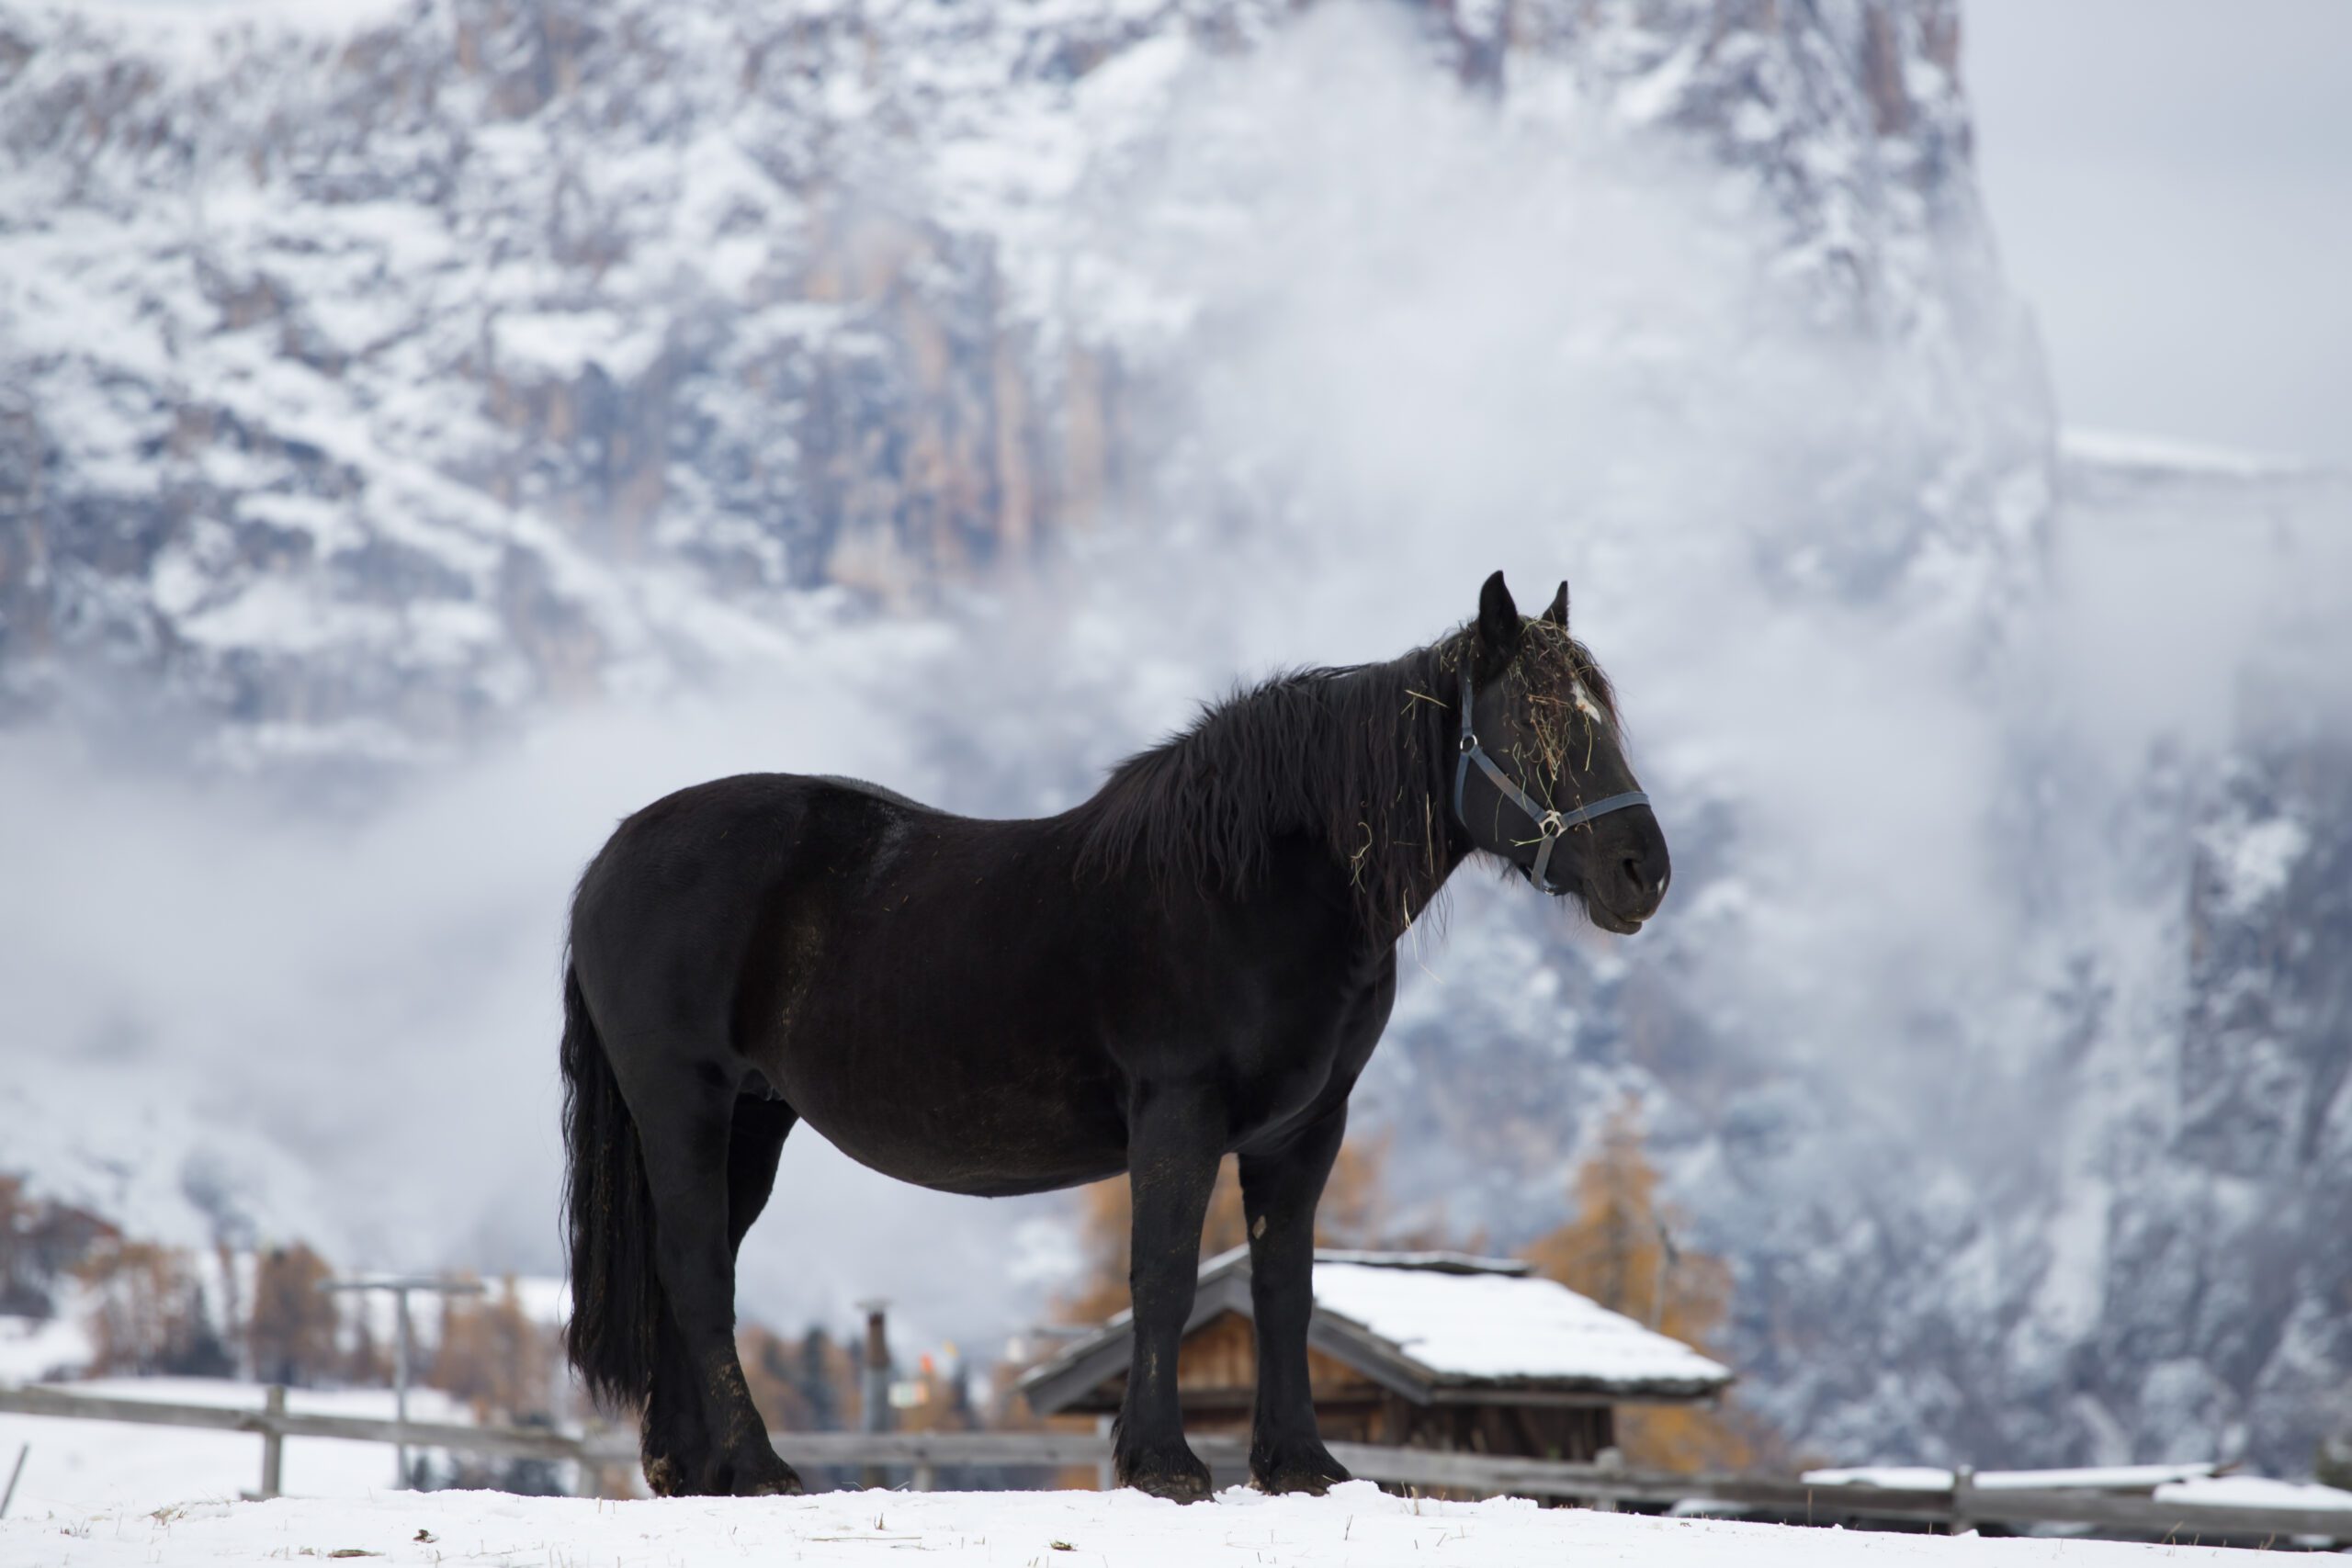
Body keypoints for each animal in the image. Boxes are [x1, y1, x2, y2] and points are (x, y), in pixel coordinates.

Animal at [564, 570, 1674, 1504]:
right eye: (1535, 721)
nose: (1643, 871)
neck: (1256, 886)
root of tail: (615, 853)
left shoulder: (1305, 1130)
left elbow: (1283, 1288)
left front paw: (1301, 1466)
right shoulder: (1177, 1110)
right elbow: (1165, 1276)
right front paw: (1165, 1464)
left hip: (753, 1119)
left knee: (688, 1265)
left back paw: (693, 1470)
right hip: (686, 1098)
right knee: (698, 1269)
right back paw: (759, 1467)